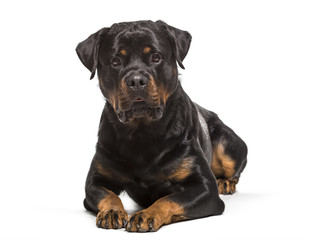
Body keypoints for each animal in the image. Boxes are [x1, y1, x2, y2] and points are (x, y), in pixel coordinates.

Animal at [75, 20, 246, 232]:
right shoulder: (95, 181)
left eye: (156, 57)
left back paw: (225, 183)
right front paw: (112, 211)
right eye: (115, 61)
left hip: (228, 144)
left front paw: (147, 214)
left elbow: (170, 199)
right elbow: (107, 195)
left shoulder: (205, 189)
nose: (136, 80)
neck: (142, 133)